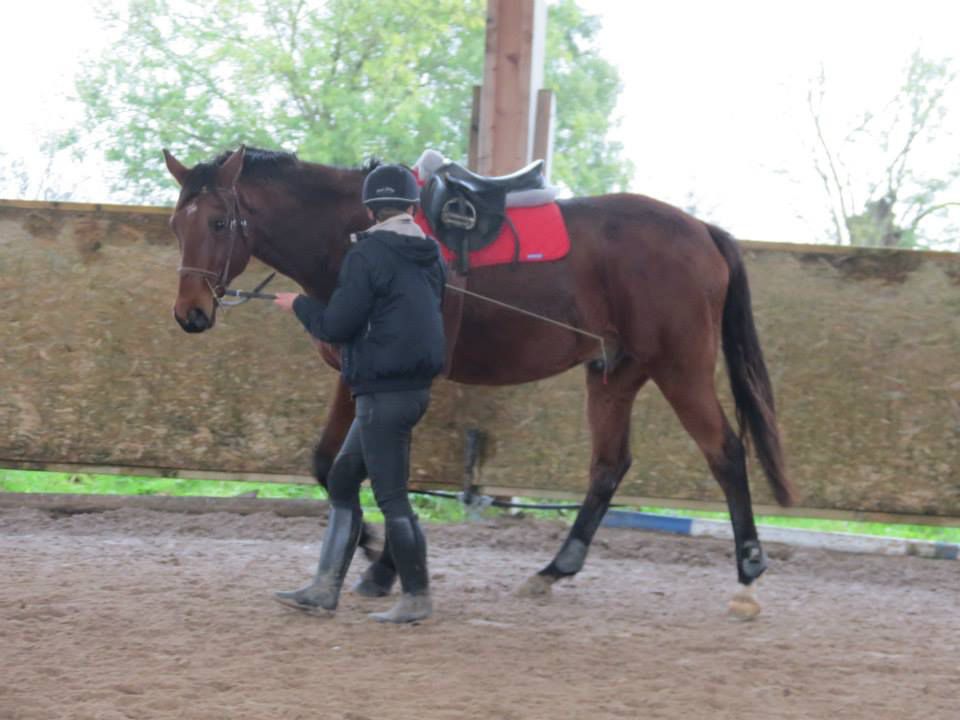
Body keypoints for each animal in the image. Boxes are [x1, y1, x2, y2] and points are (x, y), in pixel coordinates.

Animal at [163, 145, 793, 618]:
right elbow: (327, 465)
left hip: (680, 368)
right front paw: (374, 555)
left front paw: (383, 561)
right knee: (609, 467)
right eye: (176, 225)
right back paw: (553, 570)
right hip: (615, 373)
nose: (190, 314)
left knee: (725, 451)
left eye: (219, 222)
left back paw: (748, 572)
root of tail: (701, 231)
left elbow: (380, 475)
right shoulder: (356, 374)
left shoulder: (401, 378)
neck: (354, 233)